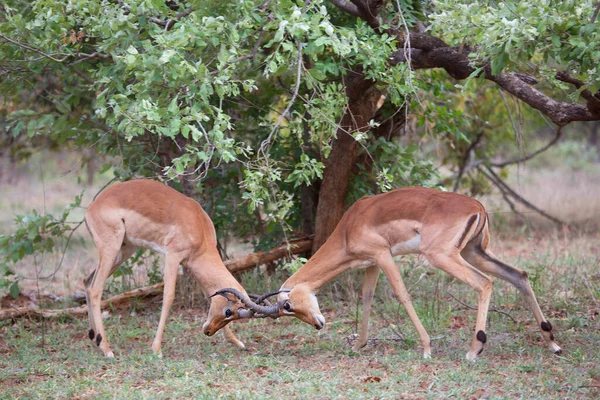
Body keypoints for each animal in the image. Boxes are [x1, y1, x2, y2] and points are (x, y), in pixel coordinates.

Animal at [82, 180, 268, 358]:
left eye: (234, 314)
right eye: (228, 311)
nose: (208, 331)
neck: (198, 224)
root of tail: (92, 207)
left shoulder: (191, 264)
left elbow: (209, 295)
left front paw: (237, 342)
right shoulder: (173, 256)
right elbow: (169, 296)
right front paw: (156, 349)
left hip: (125, 250)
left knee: (87, 281)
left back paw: (95, 339)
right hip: (112, 248)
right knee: (95, 289)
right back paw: (107, 350)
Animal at [221, 187, 564, 360]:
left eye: (288, 305)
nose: (318, 324)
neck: (348, 228)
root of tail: (477, 206)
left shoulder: (382, 255)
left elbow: (401, 293)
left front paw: (426, 347)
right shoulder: (371, 263)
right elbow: (367, 297)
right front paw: (358, 346)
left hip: (443, 257)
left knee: (485, 283)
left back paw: (474, 350)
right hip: (473, 252)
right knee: (519, 275)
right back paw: (552, 343)